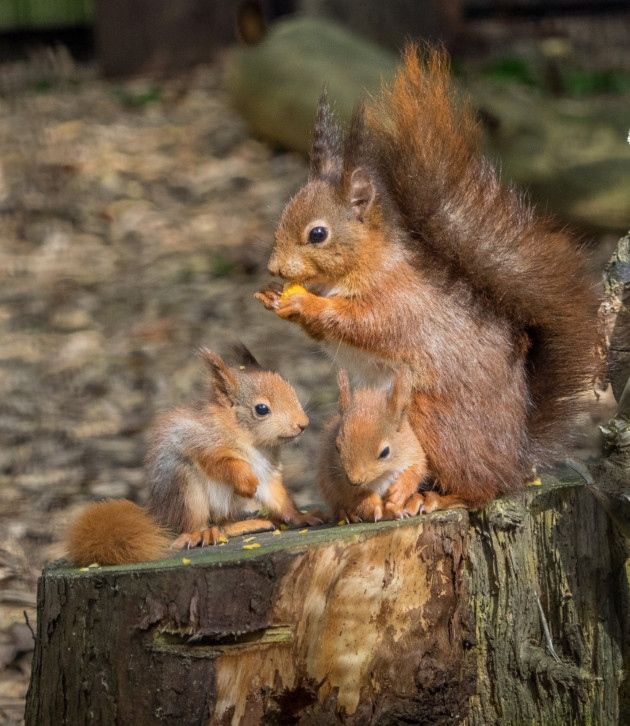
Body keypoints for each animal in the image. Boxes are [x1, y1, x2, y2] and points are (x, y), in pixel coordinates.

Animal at [68, 346, 320, 568]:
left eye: (291, 390)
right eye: (261, 409)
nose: (303, 424)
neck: (253, 442)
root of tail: (160, 515)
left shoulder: (267, 471)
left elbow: (278, 498)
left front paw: (301, 517)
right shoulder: (201, 442)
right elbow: (222, 463)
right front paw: (246, 482)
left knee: (225, 525)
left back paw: (249, 524)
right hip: (186, 488)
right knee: (191, 526)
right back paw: (201, 533)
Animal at [256, 47, 604, 512]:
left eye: (317, 234)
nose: (275, 268)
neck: (366, 265)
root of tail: (516, 457)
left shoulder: (398, 301)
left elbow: (364, 323)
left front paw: (303, 302)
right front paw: (272, 297)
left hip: (436, 421)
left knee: (482, 487)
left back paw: (440, 497)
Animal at [320, 372, 440, 528]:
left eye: (385, 452)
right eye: (337, 447)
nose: (355, 480)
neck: (381, 476)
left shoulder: (413, 453)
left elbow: (415, 471)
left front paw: (398, 492)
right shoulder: (339, 479)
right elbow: (357, 496)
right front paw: (376, 509)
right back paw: (347, 514)